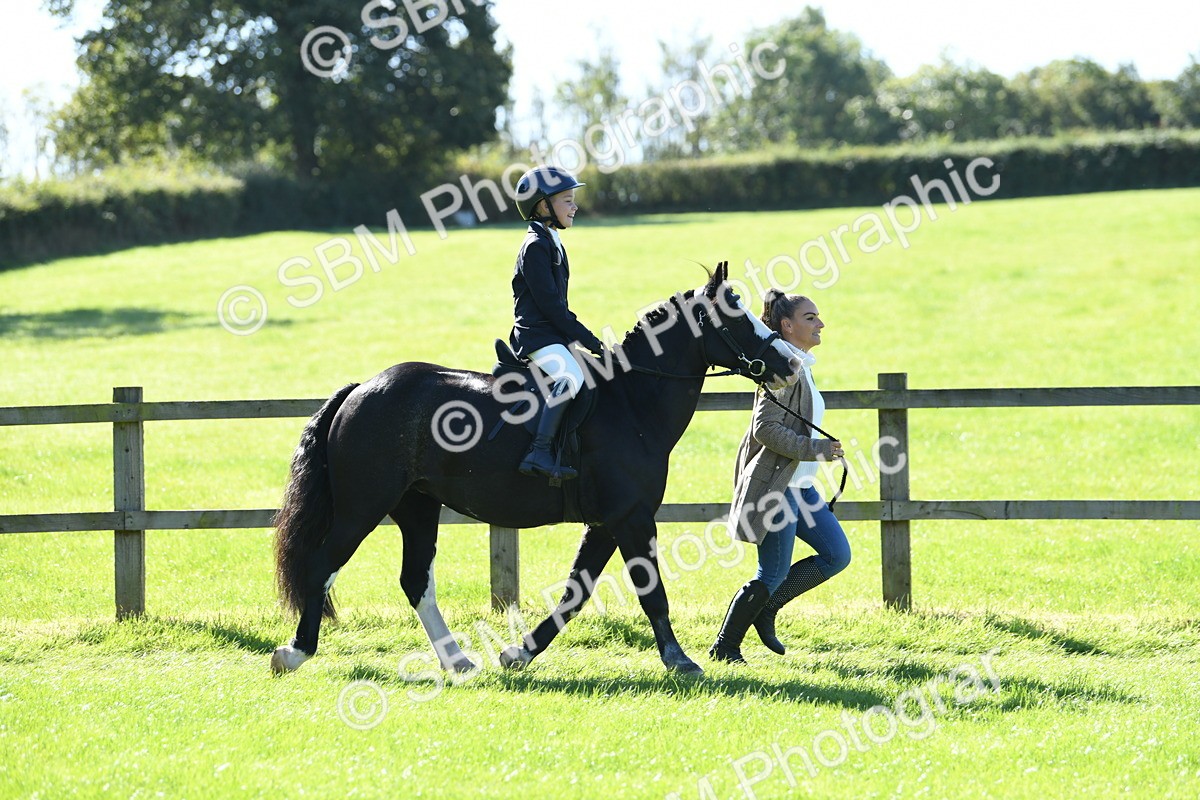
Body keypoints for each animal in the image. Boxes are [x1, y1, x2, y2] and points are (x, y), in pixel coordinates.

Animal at [270, 261, 802, 676]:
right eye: (735, 316)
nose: (789, 364)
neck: (632, 402)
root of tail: (363, 389)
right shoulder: (631, 519)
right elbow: (650, 590)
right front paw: (679, 659)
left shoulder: (607, 523)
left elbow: (576, 593)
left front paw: (518, 653)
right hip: (362, 508)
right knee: (322, 564)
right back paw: (294, 652)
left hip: (417, 508)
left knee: (415, 579)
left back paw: (457, 661)